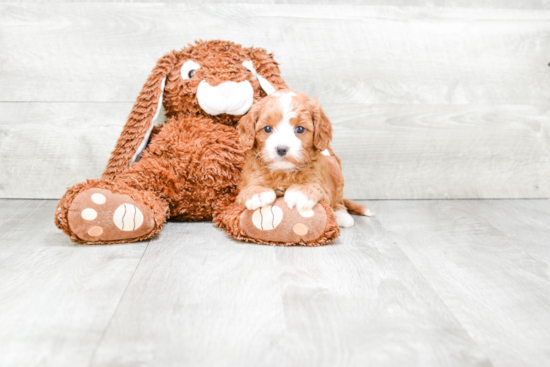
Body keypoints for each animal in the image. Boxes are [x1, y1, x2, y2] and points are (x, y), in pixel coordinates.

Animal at [237, 89, 376, 227]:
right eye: (267, 128)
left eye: (300, 129)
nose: (281, 149)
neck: (283, 172)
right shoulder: (242, 188)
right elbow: (247, 188)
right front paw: (258, 193)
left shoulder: (323, 186)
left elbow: (317, 187)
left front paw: (301, 192)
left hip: (336, 169)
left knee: (338, 201)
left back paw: (342, 215)